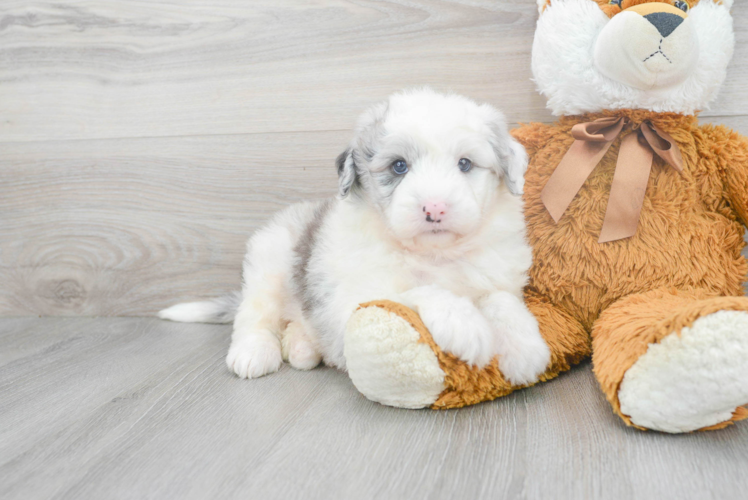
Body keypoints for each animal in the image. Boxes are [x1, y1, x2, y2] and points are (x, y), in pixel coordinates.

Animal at [161, 89, 552, 386]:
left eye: (465, 164)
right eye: (399, 166)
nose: (435, 208)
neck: (435, 255)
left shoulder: (495, 276)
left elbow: (501, 301)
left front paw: (525, 348)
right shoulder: (354, 297)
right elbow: (415, 291)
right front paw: (465, 324)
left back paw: (302, 348)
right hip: (268, 264)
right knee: (254, 316)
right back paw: (254, 353)